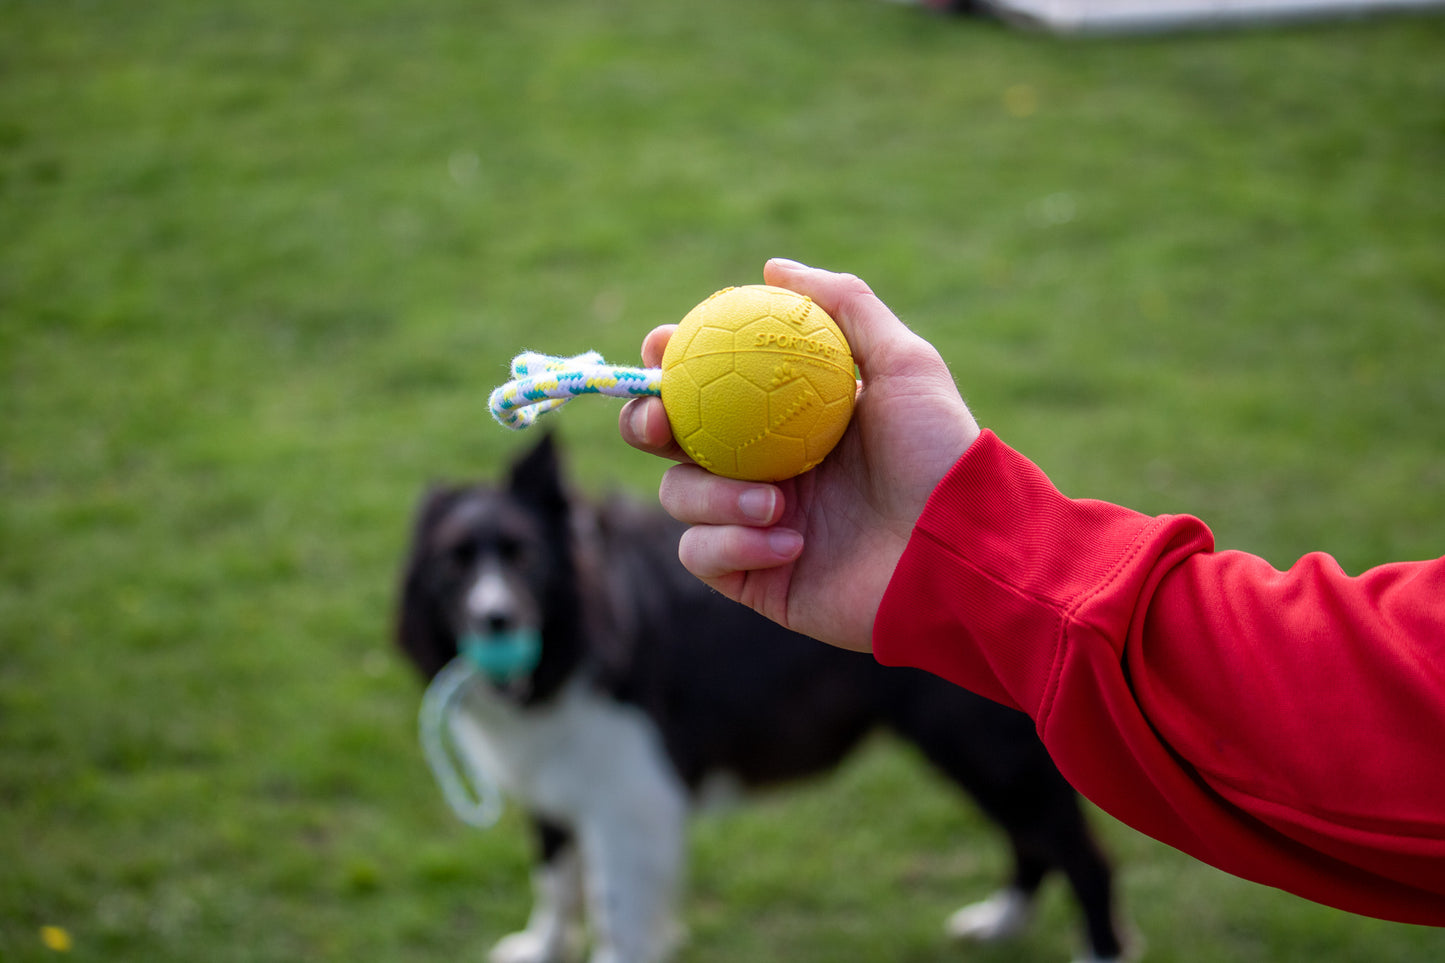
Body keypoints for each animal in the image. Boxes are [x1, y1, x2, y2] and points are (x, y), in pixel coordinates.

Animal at [395, 433, 1127, 960]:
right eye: (452, 565)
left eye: (524, 557)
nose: (496, 620)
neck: (577, 635)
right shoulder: (556, 782)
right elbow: (553, 880)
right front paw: (538, 947)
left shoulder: (631, 799)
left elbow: (617, 918)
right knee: (1035, 843)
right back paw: (1000, 921)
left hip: (984, 748)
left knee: (1080, 854)